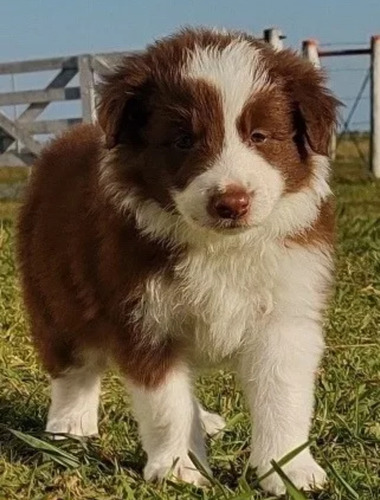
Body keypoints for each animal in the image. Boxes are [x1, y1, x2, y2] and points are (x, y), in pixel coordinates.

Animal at [17, 29, 338, 494]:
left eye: (259, 136)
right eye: (184, 140)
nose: (231, 203)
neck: (218, 246)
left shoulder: (286, 312)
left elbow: (283, 397)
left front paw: (290, 471)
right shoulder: (142, 318)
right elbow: (166, 403)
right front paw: (179, 469)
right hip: (55, 290)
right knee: (72, 365)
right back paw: (68, 428)